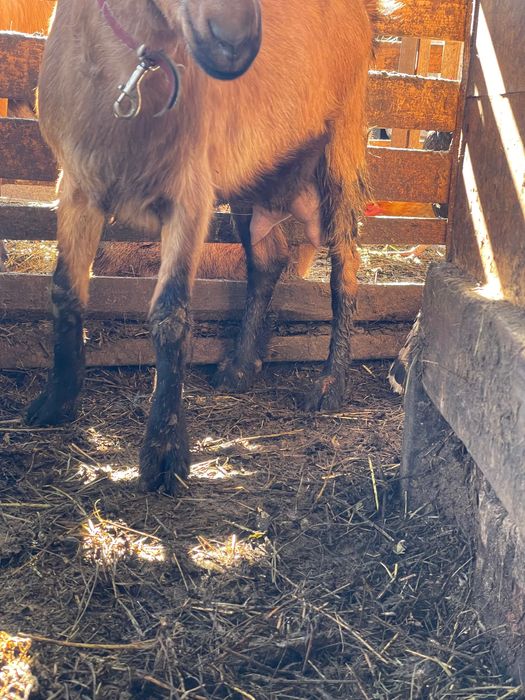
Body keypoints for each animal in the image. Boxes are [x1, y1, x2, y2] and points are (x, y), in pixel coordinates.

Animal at [27, 0, 379, 494]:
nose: (238, 42)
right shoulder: (76, 183)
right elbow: (64, 292)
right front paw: (56, 402)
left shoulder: (190, 192)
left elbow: (171, 315)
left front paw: (164, 455)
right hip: (255, 173)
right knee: (267, 261)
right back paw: (240, 367)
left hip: (342, 139)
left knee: (345, 269)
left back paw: (330, 384)